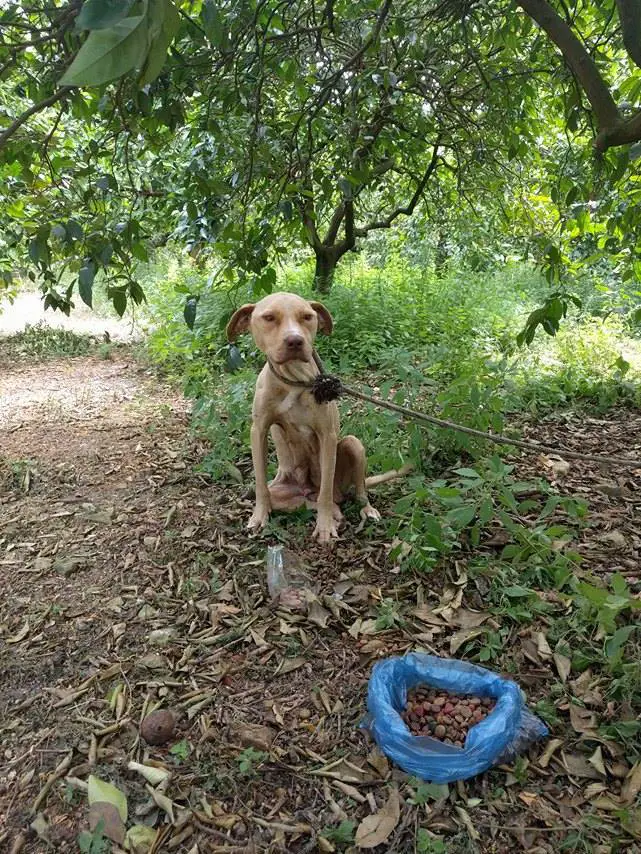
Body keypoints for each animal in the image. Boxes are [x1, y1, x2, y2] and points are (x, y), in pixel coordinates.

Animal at [228, 290, 410, 540]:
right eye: (269, 318)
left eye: (307, 316)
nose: (295, 341)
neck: (294, 380)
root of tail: (306, 490)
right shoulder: (259, 431)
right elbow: (260, 484)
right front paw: (258, 516)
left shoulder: (327, 435)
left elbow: (324, 491)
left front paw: (324, 527)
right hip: (288, 494)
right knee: (307, 500)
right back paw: (334, 515)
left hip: (353, 446)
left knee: (353, 491)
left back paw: (362, 510)